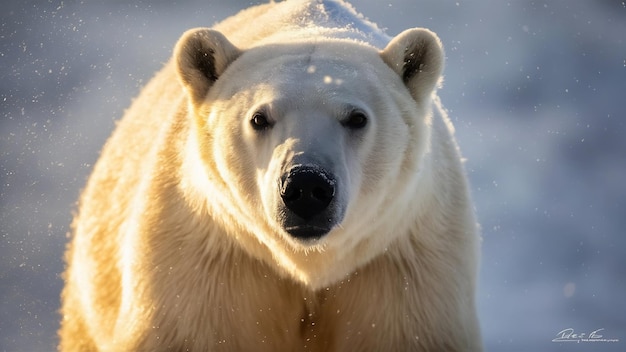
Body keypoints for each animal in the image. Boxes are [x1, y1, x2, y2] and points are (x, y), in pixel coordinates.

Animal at [59, 1, 478, 350]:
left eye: (357, 118)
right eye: (259, 118)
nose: (306, 186)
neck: (308, 264)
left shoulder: (401, 272)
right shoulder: (202, 270)